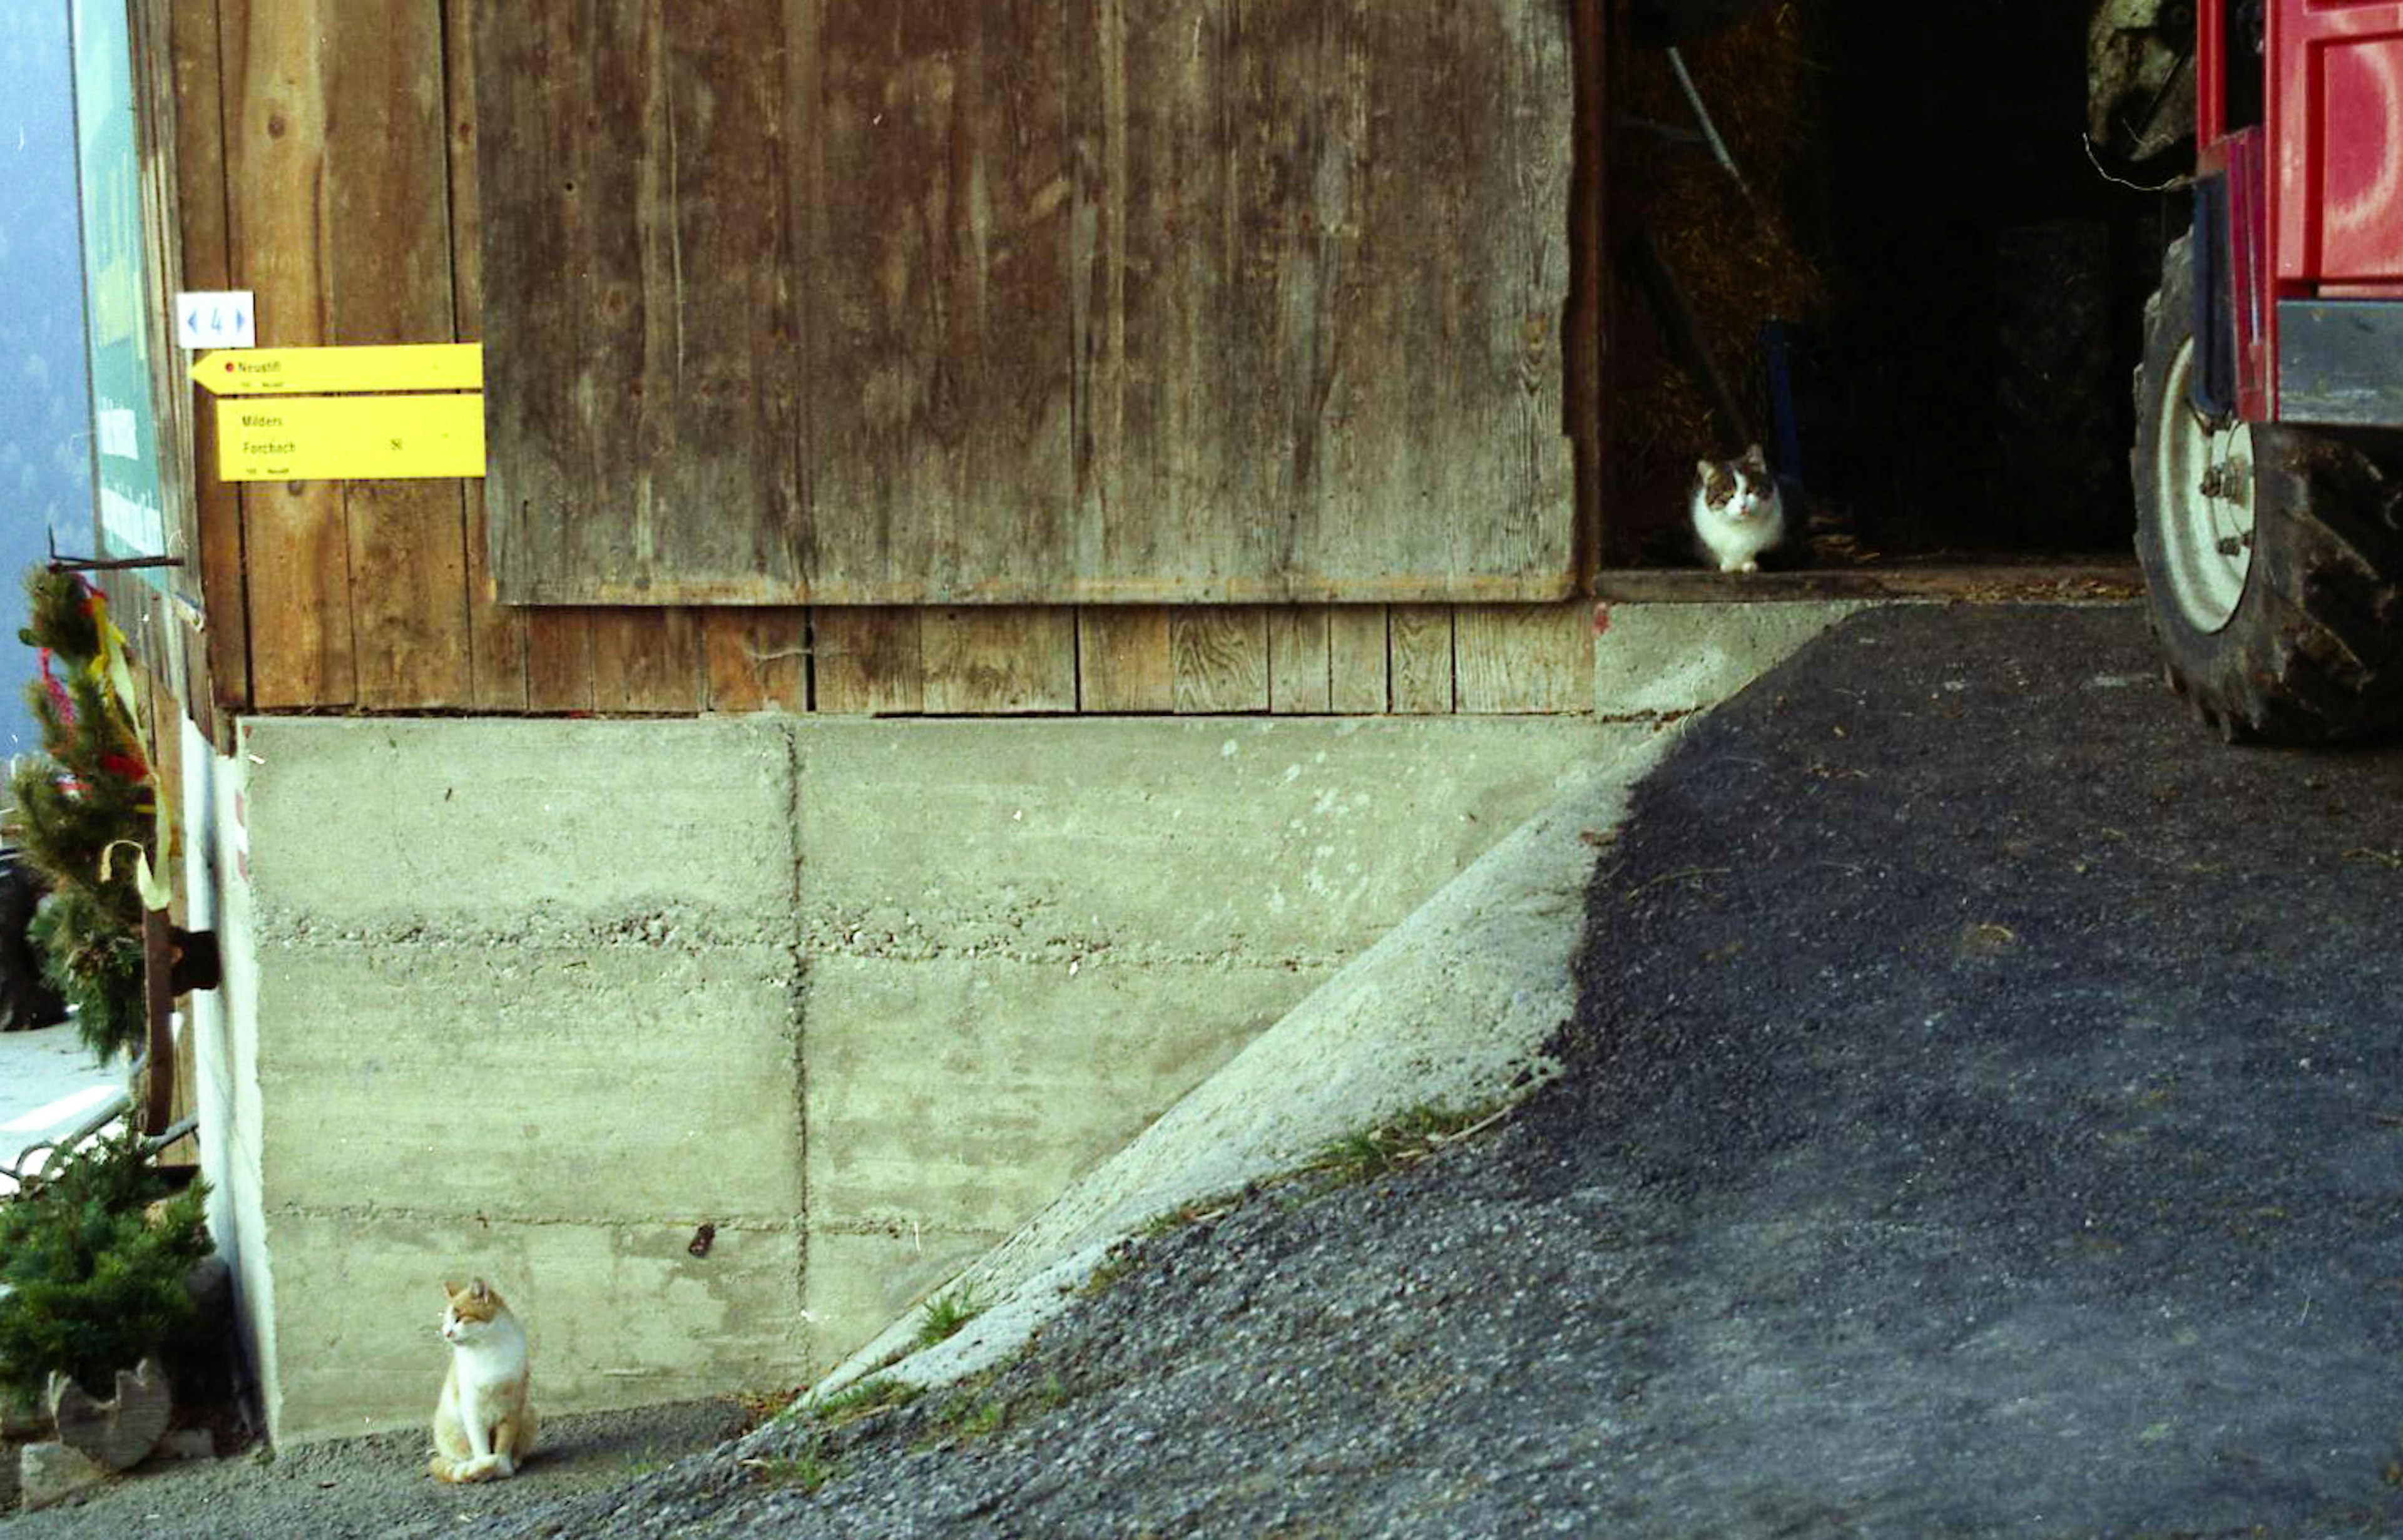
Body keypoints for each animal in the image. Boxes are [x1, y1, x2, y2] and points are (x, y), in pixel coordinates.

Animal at [427, 1268, 536, 1480]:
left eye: (460, 1318)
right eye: (445, 1322)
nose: (447, 1333)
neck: (486, 1350)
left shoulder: (511, 1410)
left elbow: (503, 1444)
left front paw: (502, 1467)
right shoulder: (473, 1410)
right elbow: (481, 1446)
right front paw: (484, 1467)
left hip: (529, 1413)